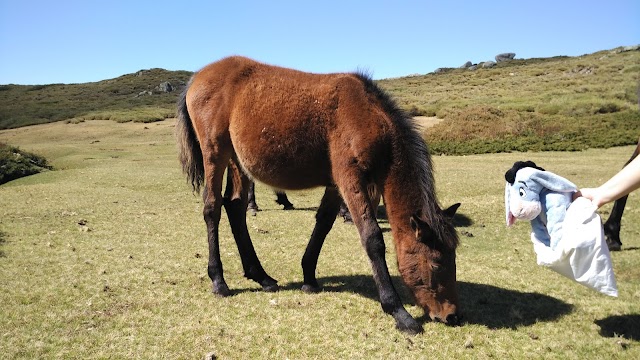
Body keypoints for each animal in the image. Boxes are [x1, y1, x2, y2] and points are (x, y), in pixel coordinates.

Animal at [175, 54, 460, 334]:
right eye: (436, 263)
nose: (451, 315)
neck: (366, 117)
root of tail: (197, 77)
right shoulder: (351, 179)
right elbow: (372, 238)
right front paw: (398, 311)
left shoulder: (336, 185)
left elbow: (323, 224)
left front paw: (309, 278)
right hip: (215, 154)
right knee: (212, 208)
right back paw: (219, 280)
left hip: (238, 161)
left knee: (235, 207)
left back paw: (261, 275)